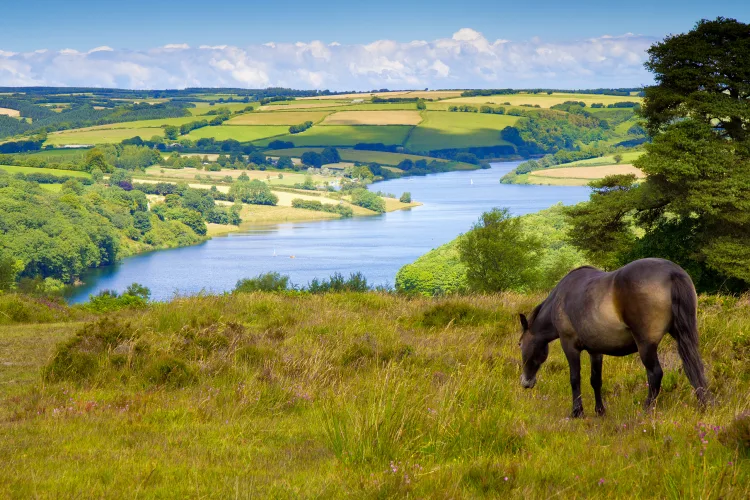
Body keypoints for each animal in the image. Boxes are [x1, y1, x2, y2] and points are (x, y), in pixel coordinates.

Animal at [520, 258, 708, 418]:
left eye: (519, 343)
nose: (526, 382)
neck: (560, 298)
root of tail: (672, 272)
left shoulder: (569, 346)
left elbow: (575, 379)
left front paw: (577, 412)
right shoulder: (595, 350)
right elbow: (596, 380)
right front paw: (600, 410)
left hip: (646, 345)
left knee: (655, 374)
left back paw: (646, 409)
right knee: (695, 367)